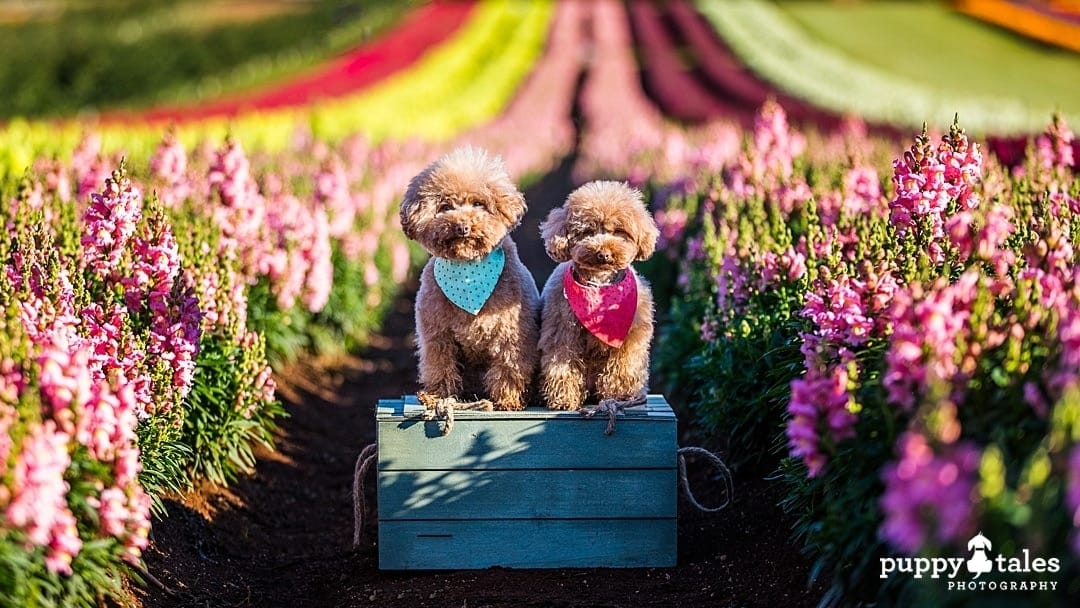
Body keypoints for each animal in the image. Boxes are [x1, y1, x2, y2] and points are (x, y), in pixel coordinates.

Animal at [401, 149, 540, 414]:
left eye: (478, 204)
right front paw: (438, 398)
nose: (462, 226)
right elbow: (440, 366)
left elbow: (509, 366)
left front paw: (508, 401)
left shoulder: (510, 334)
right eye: (445, 206)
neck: (468, 274)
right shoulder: (437, 336)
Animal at [537, 179, 656, 408]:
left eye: (619, 232)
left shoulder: (630, 336)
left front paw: (619, 396)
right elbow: (562, 364)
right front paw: (563, 399)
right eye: (587, 231)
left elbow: (622, 367)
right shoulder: (563, 330)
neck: (599, 287)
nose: (603, 253)